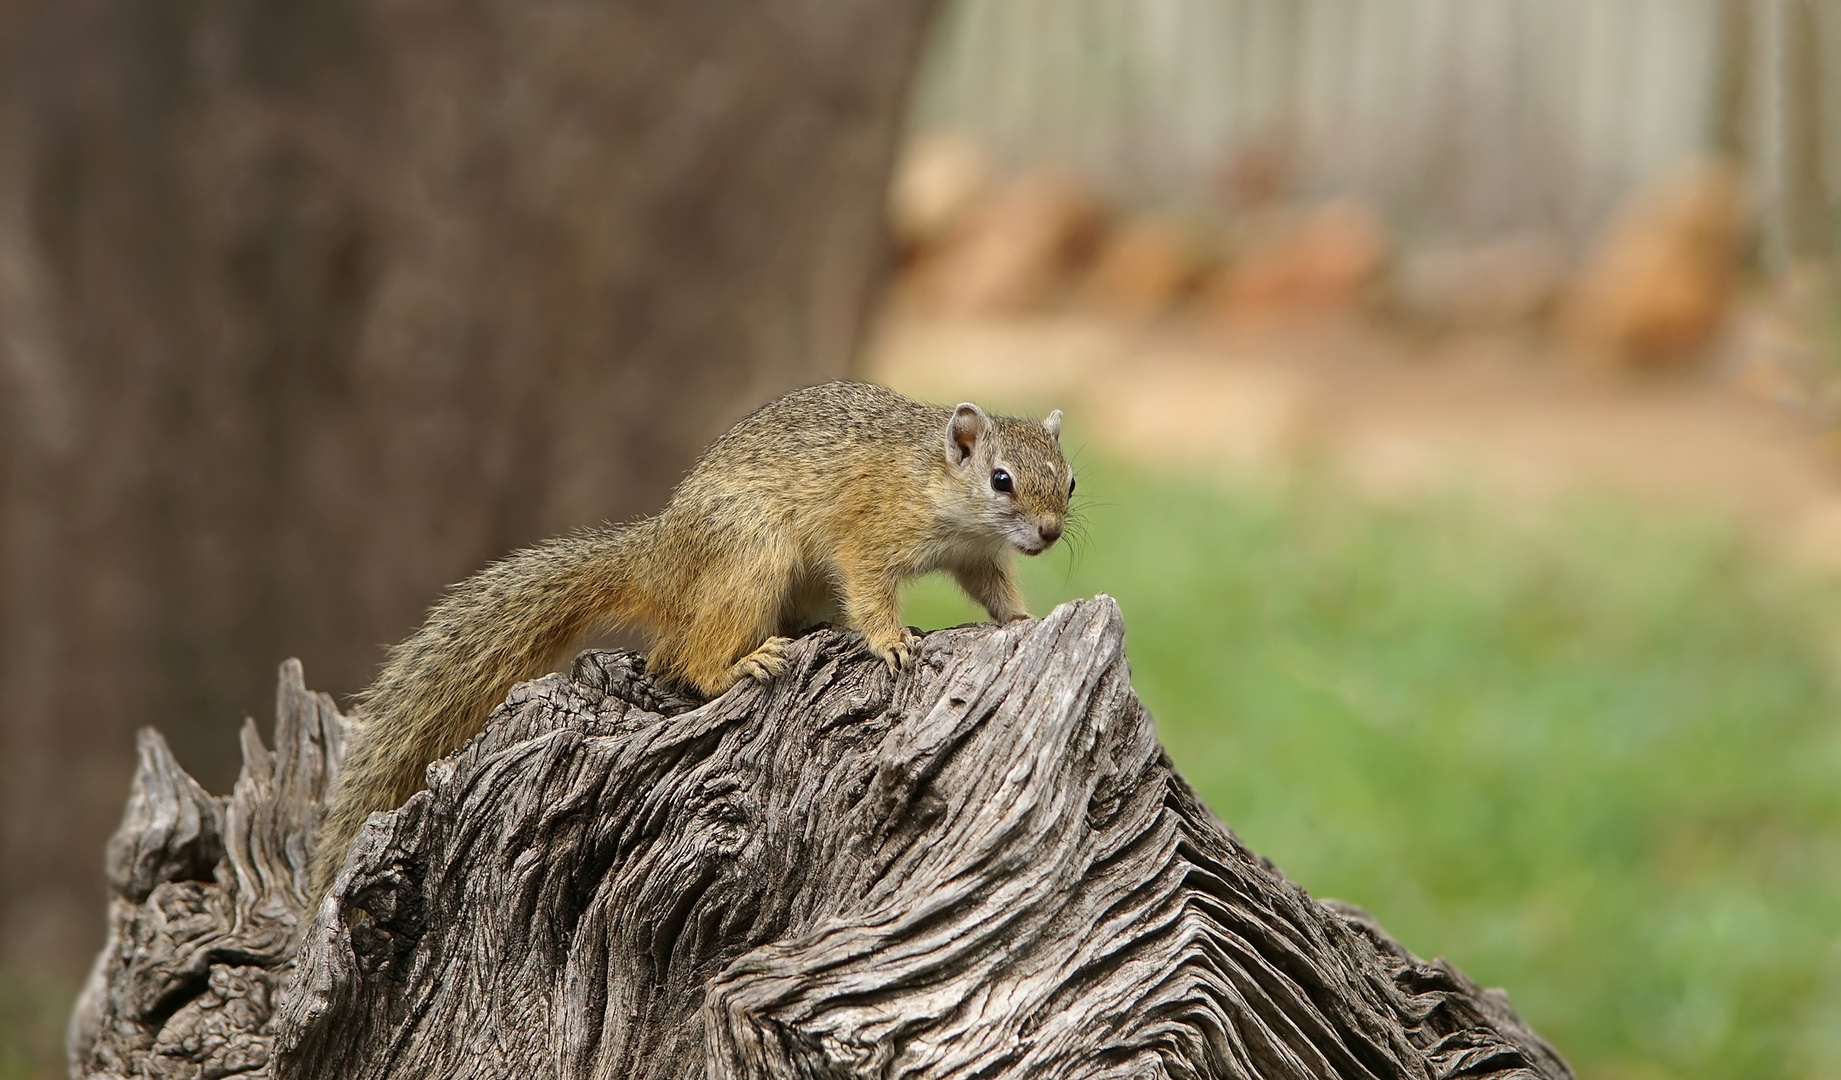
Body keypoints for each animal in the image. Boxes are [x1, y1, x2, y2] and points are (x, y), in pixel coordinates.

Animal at [309, 380, 1075, 894]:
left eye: (1068, 480)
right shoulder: (868, 535)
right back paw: (738, 666)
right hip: (752, 555)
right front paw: (889, 641)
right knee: (680, 657)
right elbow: (868, 586)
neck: (933, 479)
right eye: (1001, 480)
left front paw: (1022, 620)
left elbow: (992, 588)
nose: (1048, 534)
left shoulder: (976, 557)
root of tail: (662, 558)